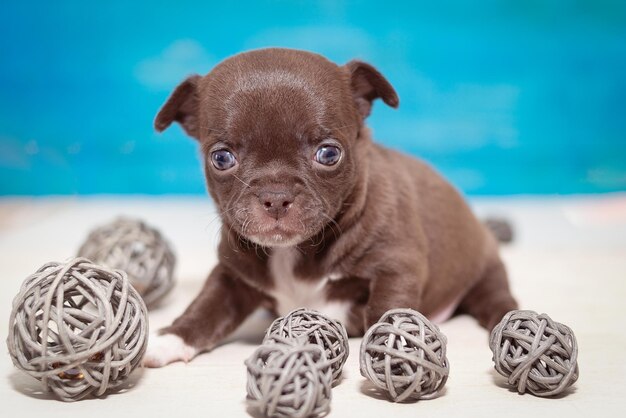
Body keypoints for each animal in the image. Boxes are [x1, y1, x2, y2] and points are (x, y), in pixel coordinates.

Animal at [144, 48, 516, 366]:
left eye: (329, 153)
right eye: (221, 158)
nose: (276, 195)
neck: (293, 252)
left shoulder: (395, 266)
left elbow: (389, 309)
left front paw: (394, 350)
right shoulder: (231, 276)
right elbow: (206, 307)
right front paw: (171, 338)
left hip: (486, 270)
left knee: (497, 299)